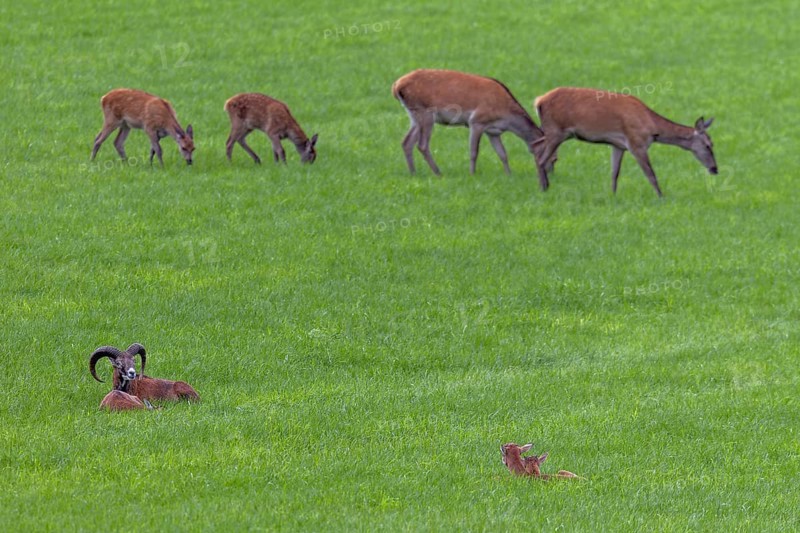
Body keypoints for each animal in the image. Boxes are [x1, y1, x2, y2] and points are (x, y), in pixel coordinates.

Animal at [392, 69, 547, 185]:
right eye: (549, 152)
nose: (548, 172)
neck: (506, 119)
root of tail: (396, 86)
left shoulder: (493, 132)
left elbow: (502, 153)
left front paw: (509, 175)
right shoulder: (476, 121)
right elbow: (474, 151)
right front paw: (472, 174)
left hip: (413, 115)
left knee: (406, 142)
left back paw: (413, 173)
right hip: (426, 113)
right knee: (422, 145)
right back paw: (438, 173)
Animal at [533, 87, 717, 197]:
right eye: (708, 145)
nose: (715, 169)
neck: (652, 127)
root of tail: (539, 101)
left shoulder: (618, 145)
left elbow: (614, 173)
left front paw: (613, 196)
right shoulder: (636, 143)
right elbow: (651, 174)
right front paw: (661, 197)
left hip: (552, 132)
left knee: (536, 147)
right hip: (556, 131)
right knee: (541, 158)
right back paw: (544, 188)